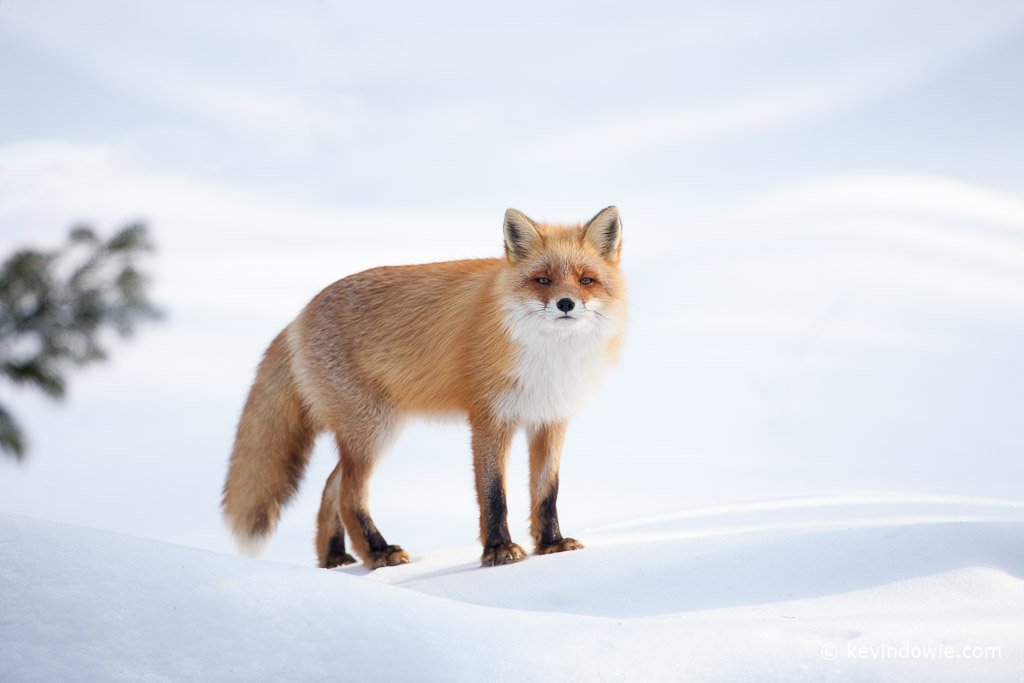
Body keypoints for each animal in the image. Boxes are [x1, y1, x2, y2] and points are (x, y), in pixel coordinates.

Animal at [222, 205, 622, 569]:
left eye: (586, 280)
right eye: (543, 280)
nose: (566, 304)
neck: (549, 359)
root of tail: (298, 316)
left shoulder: (550, 419)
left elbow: (547, 492)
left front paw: (552, 545)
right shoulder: (489, 419)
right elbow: (493, 494)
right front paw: (498, 550)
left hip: (367, 433)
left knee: (330, 487)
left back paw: (335, 557)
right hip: (375, 431)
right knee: (349, 495)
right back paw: (379, 553)